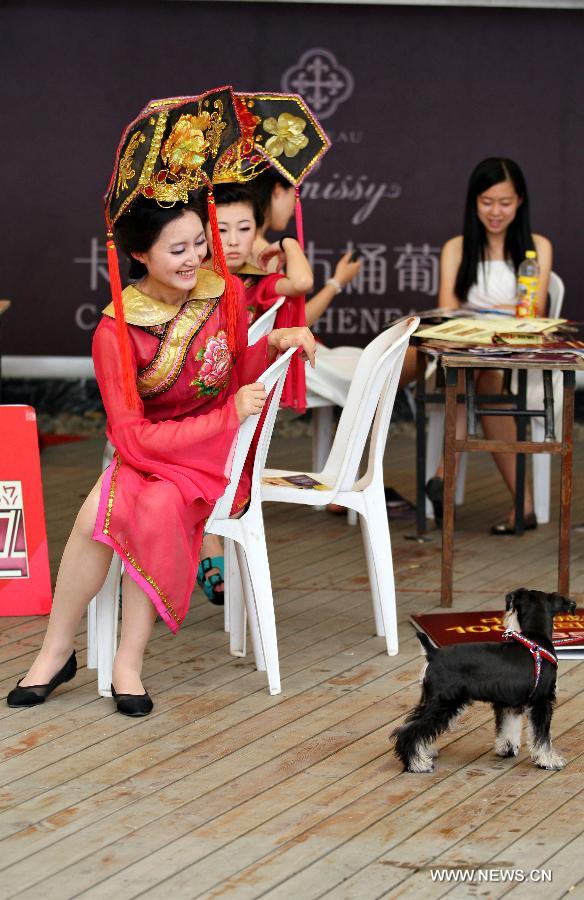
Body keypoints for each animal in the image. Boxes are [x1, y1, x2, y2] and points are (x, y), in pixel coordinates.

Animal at [392, 592, 576, 772]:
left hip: (433, 701)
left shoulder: (508, 702)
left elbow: (508, 727)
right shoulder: (541, 701)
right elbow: (542, 736)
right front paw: (549, 760)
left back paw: (424, 753)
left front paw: (507, 749)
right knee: (409, 730)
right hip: (444, 703)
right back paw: (418, 764)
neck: (536, 639)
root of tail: (433, 653)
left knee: (412, 723)